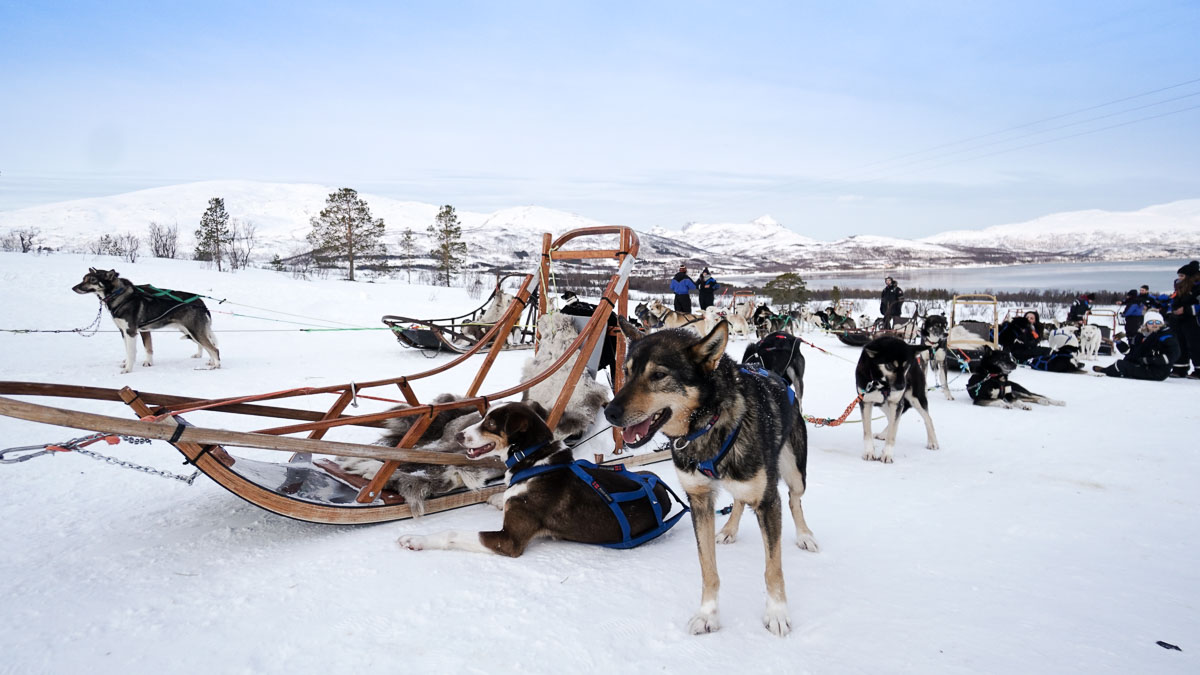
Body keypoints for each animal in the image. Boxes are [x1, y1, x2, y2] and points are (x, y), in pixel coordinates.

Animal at [71, 267, 220, 372]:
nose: (73, 288)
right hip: (190, 332)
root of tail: (201, 303)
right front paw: (131, 363)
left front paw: (128, 369)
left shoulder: (131, 332)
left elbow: (132, 352)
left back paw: (215, 365)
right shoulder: (125, 332)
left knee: (214, 349)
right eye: (83, 278)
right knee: (208, 346)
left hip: (195, 332)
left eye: (92, 280)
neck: (120, 295)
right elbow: (135, 350)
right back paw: (211, 361)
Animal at [398, 401, 681, 554]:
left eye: (491, 424)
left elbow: (452, 534)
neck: (532, 461)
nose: (458, 436)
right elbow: (505, 496)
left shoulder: (509, 541)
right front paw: (499, 498)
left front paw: (416, 540)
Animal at [609, 317, 816, 634]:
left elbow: (773, 568)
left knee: (795, 499)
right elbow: (707, 567)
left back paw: (804, 535)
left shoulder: (768, 501)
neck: (708, 426)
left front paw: (777, 612)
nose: (609, 412)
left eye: (658, 375)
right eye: (626, 372)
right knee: (740, 500)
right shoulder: (699, 500)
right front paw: (708, 614)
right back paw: (729, 529)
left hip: (794, 471)